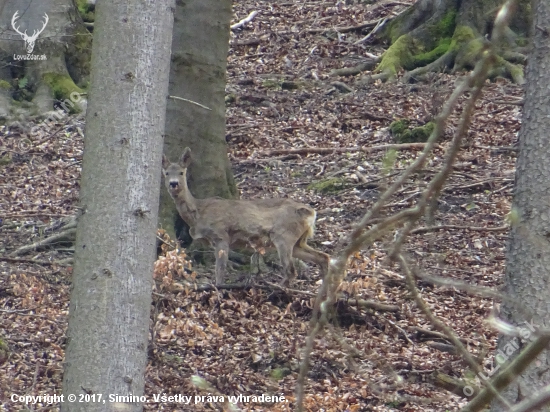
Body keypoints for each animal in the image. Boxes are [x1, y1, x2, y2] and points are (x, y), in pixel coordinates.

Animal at [162, 148, 330, 286]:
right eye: (166, 173)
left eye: (181, 172)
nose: (173, 184)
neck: (198, 212)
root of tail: (311, 213)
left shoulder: (221, 235)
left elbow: (220, 270)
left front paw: (218, 288)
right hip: (298, 241)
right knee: (323, 257)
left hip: (284, 235)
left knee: (291, 270)